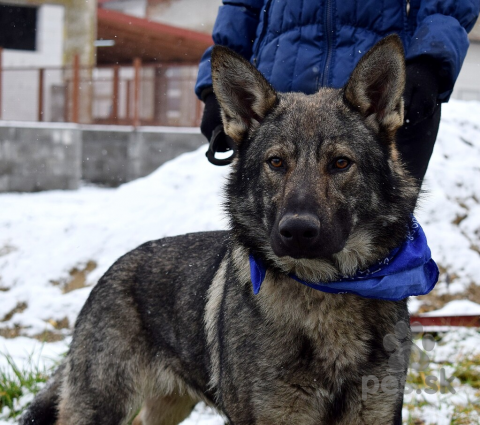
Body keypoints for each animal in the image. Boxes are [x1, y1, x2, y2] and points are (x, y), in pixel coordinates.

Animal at [20, 36, 422, 424]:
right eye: (276, 162)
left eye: (340, 163)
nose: (297, 231)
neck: (328, 291)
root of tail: (114, 267)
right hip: (102, 406)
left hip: (168, 406)